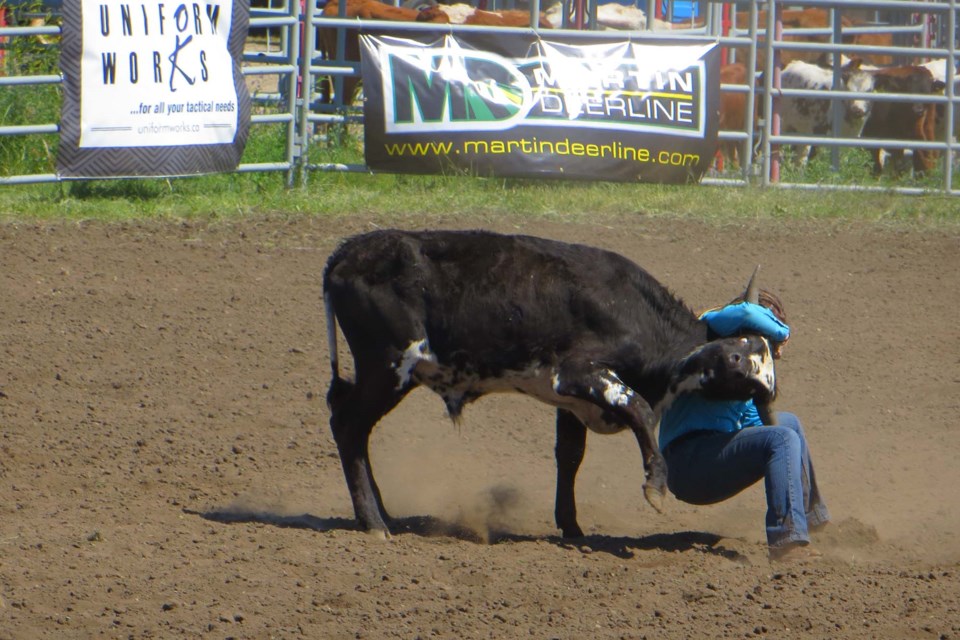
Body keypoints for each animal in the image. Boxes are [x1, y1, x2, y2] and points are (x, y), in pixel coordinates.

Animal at [322, 230, 780, 540]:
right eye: (736, 357)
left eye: (761, 384)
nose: (759, 385)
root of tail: (350, 249)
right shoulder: (578, 373)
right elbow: (639, 409)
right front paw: (655, 486)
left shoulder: (571, 401)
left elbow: (570, 455)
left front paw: (571, 525)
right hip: (388, 367)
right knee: (347, 425)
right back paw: (374, 522)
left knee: (353, 427)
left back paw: (381, 514)